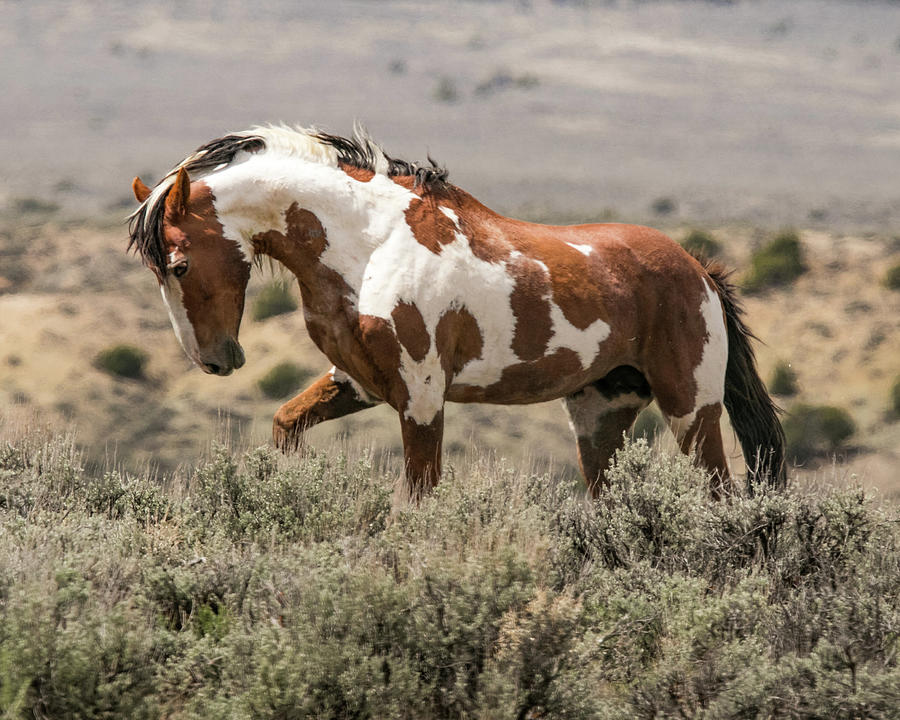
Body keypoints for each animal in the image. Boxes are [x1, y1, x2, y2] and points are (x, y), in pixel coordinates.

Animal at [130, 126, 784, 500]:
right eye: (155, 270)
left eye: (180, 265)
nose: (215, 361)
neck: (371, 242)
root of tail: (698, 269)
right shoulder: (358, 383)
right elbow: (286, 427)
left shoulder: (422, 399)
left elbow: (417, 500)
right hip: (600, 416)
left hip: (690, 408)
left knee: (721, 495)